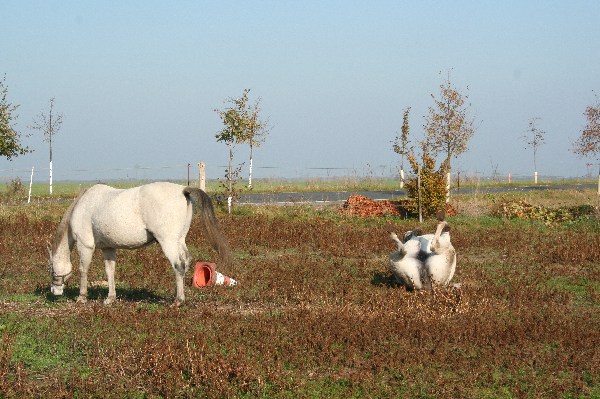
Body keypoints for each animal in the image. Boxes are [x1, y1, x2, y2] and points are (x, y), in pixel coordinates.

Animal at [48, 182, 231, 306]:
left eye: (51, 270)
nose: (54, 292)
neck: (83, 205)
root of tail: (182, 190)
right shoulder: (108, 247)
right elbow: (110, 271)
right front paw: (110, 298)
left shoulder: (85, 245)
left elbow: (83, 270)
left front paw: (82, 296)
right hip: (179, 240)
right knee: (185, 262)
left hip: (168, 242)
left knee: (178, 265)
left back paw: (178, 301)